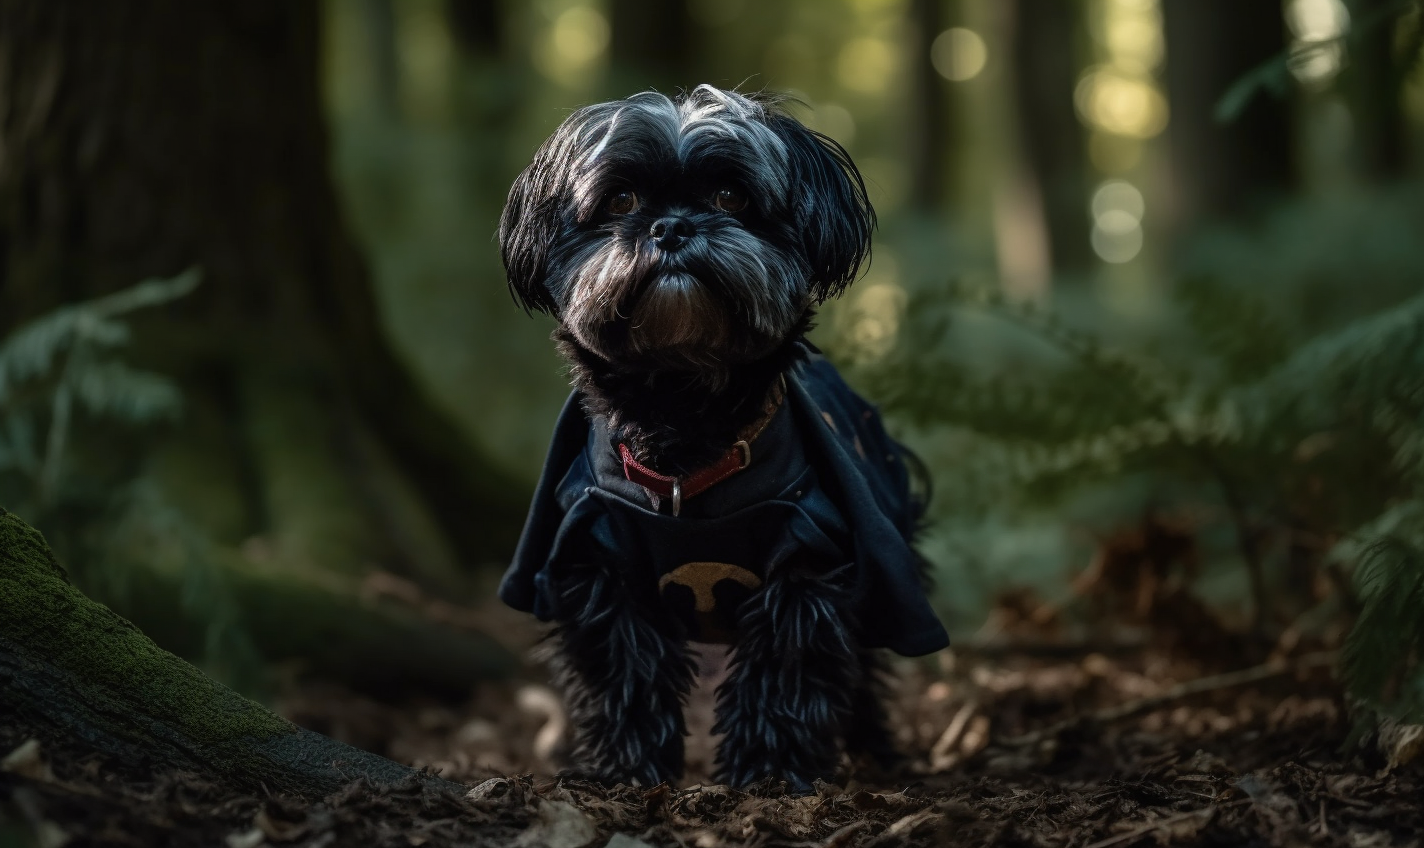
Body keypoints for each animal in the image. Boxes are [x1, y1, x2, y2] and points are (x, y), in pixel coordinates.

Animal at [495, 86, 951, 791]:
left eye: (731, 197)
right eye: (620, 201)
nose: (672, 227)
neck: (685, 421)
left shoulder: (805, 558)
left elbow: (783, 671)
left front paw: (768, 772)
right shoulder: (598, 558)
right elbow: (624, 675)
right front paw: (629, 769)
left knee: (864, 677)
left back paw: (876, 755)